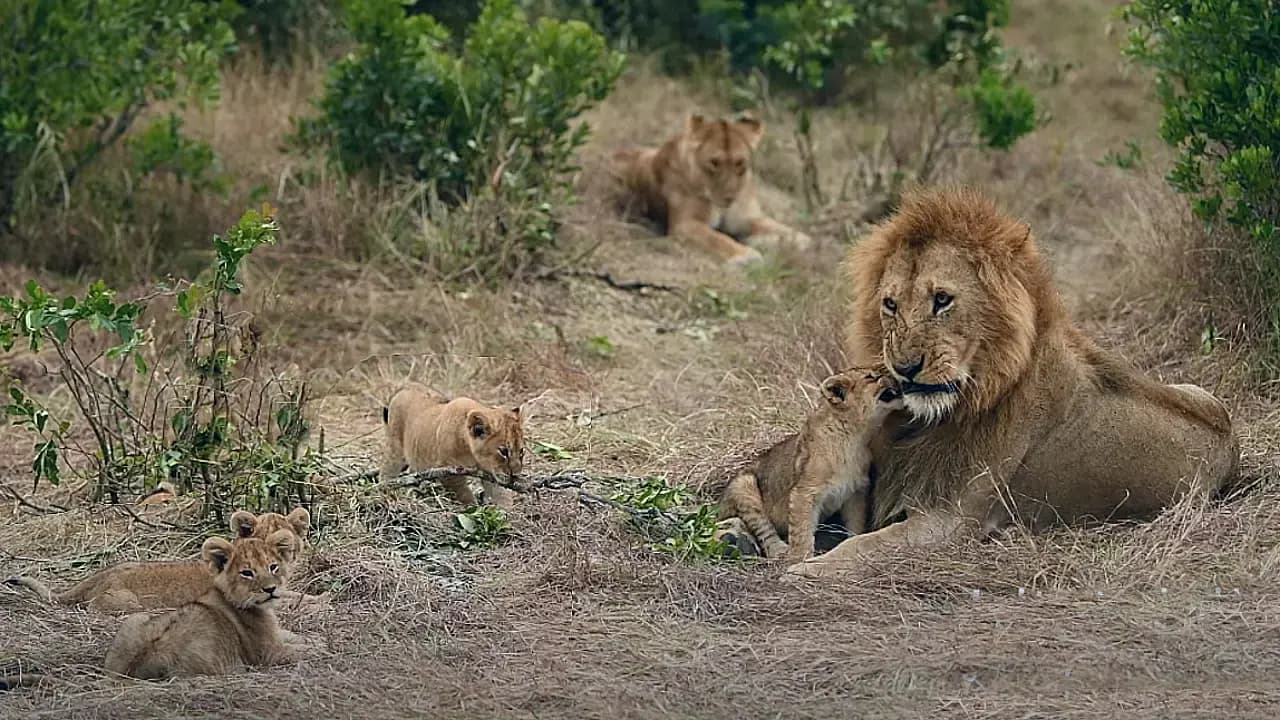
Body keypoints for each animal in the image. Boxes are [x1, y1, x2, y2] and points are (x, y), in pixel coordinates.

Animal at [3, 504, 320, 609]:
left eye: (287, 547)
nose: (272, 579)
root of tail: (101, 574)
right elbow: (298, 599)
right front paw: (323, 600)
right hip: (126, 602)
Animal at [103, 527, 311, 676]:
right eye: (247, 573)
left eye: (273, 567)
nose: (270, 589)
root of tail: (136, 666)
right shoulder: (268, 654)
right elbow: (303, 650)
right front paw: (314, 645)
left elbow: (291, 635)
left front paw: (306, 637)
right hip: (227, 665)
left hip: (135, 618)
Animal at [609, 113, 808, 265]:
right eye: (714, 162)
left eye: (739, 162)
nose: (730, 197)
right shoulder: (685, 224)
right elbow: (718, 238)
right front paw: (746, 255)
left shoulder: (747, 218)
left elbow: (788, 232)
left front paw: (788, 240)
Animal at [711, 363, 901, 561]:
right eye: (871, 377)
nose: (896, 376)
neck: (855, 438)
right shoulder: (803, 492)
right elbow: (801, 532)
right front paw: (799, 560)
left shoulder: (855, 492)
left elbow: (856, 523)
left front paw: (852, 543)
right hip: (743, 484)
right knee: (762, 528)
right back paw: (765, 547)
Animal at [788, 188, 1239, 573]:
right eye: (890, 304)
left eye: (942, 300)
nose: (906, 367)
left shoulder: (952, 521)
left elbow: (862, 545)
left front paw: (803, 571)